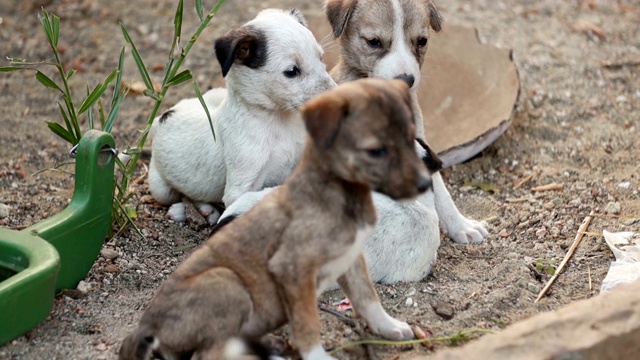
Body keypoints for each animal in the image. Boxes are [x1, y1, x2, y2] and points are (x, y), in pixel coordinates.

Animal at [120, 79, 430, 360]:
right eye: (376, 151)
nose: (425, 183)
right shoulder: (293, 270)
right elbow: (308, 325)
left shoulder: (352, 260)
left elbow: (368, 298)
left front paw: (389, 327)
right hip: (223, 279)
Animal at [146, 7, 336, 222]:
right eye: (291, 71)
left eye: (321, 59)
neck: (279, 122)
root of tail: (160, 120)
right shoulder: (241, 188)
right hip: (162, 190)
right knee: (185, 195)